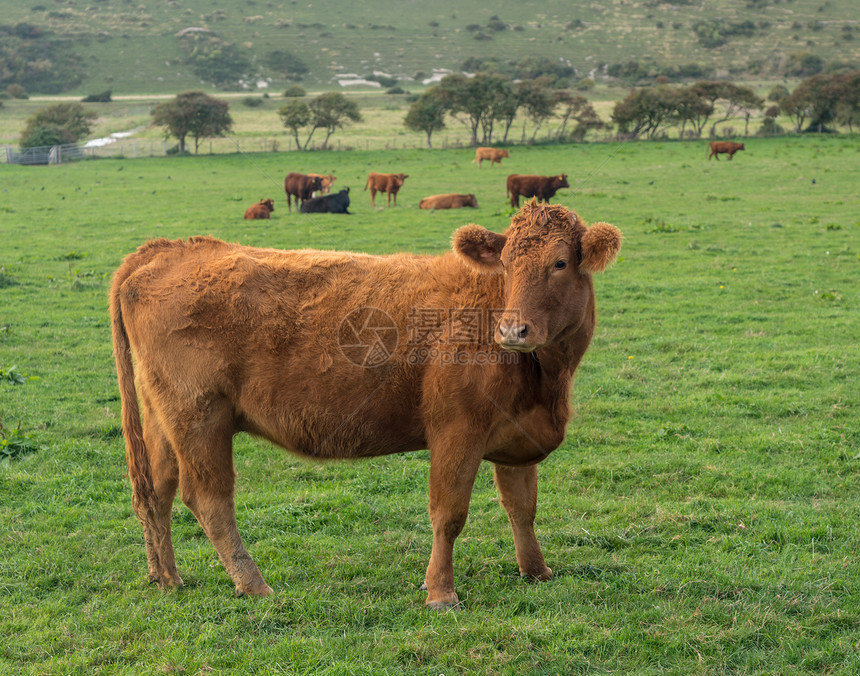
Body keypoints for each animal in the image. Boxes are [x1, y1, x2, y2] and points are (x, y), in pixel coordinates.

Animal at [111, 198, 624, 608]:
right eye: (506, 264)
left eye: (560, 263)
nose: (512, 330)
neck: (546, 380)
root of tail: (171, 247)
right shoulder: (456, 431)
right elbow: (449, 514)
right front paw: (441, 592)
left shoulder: (517, 437)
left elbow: (522, 508)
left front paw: (536, 571)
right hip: (200, 417)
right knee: (209, 500)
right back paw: (252, 583)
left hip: (163, 420)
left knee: (155, 491)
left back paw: (167, 578)